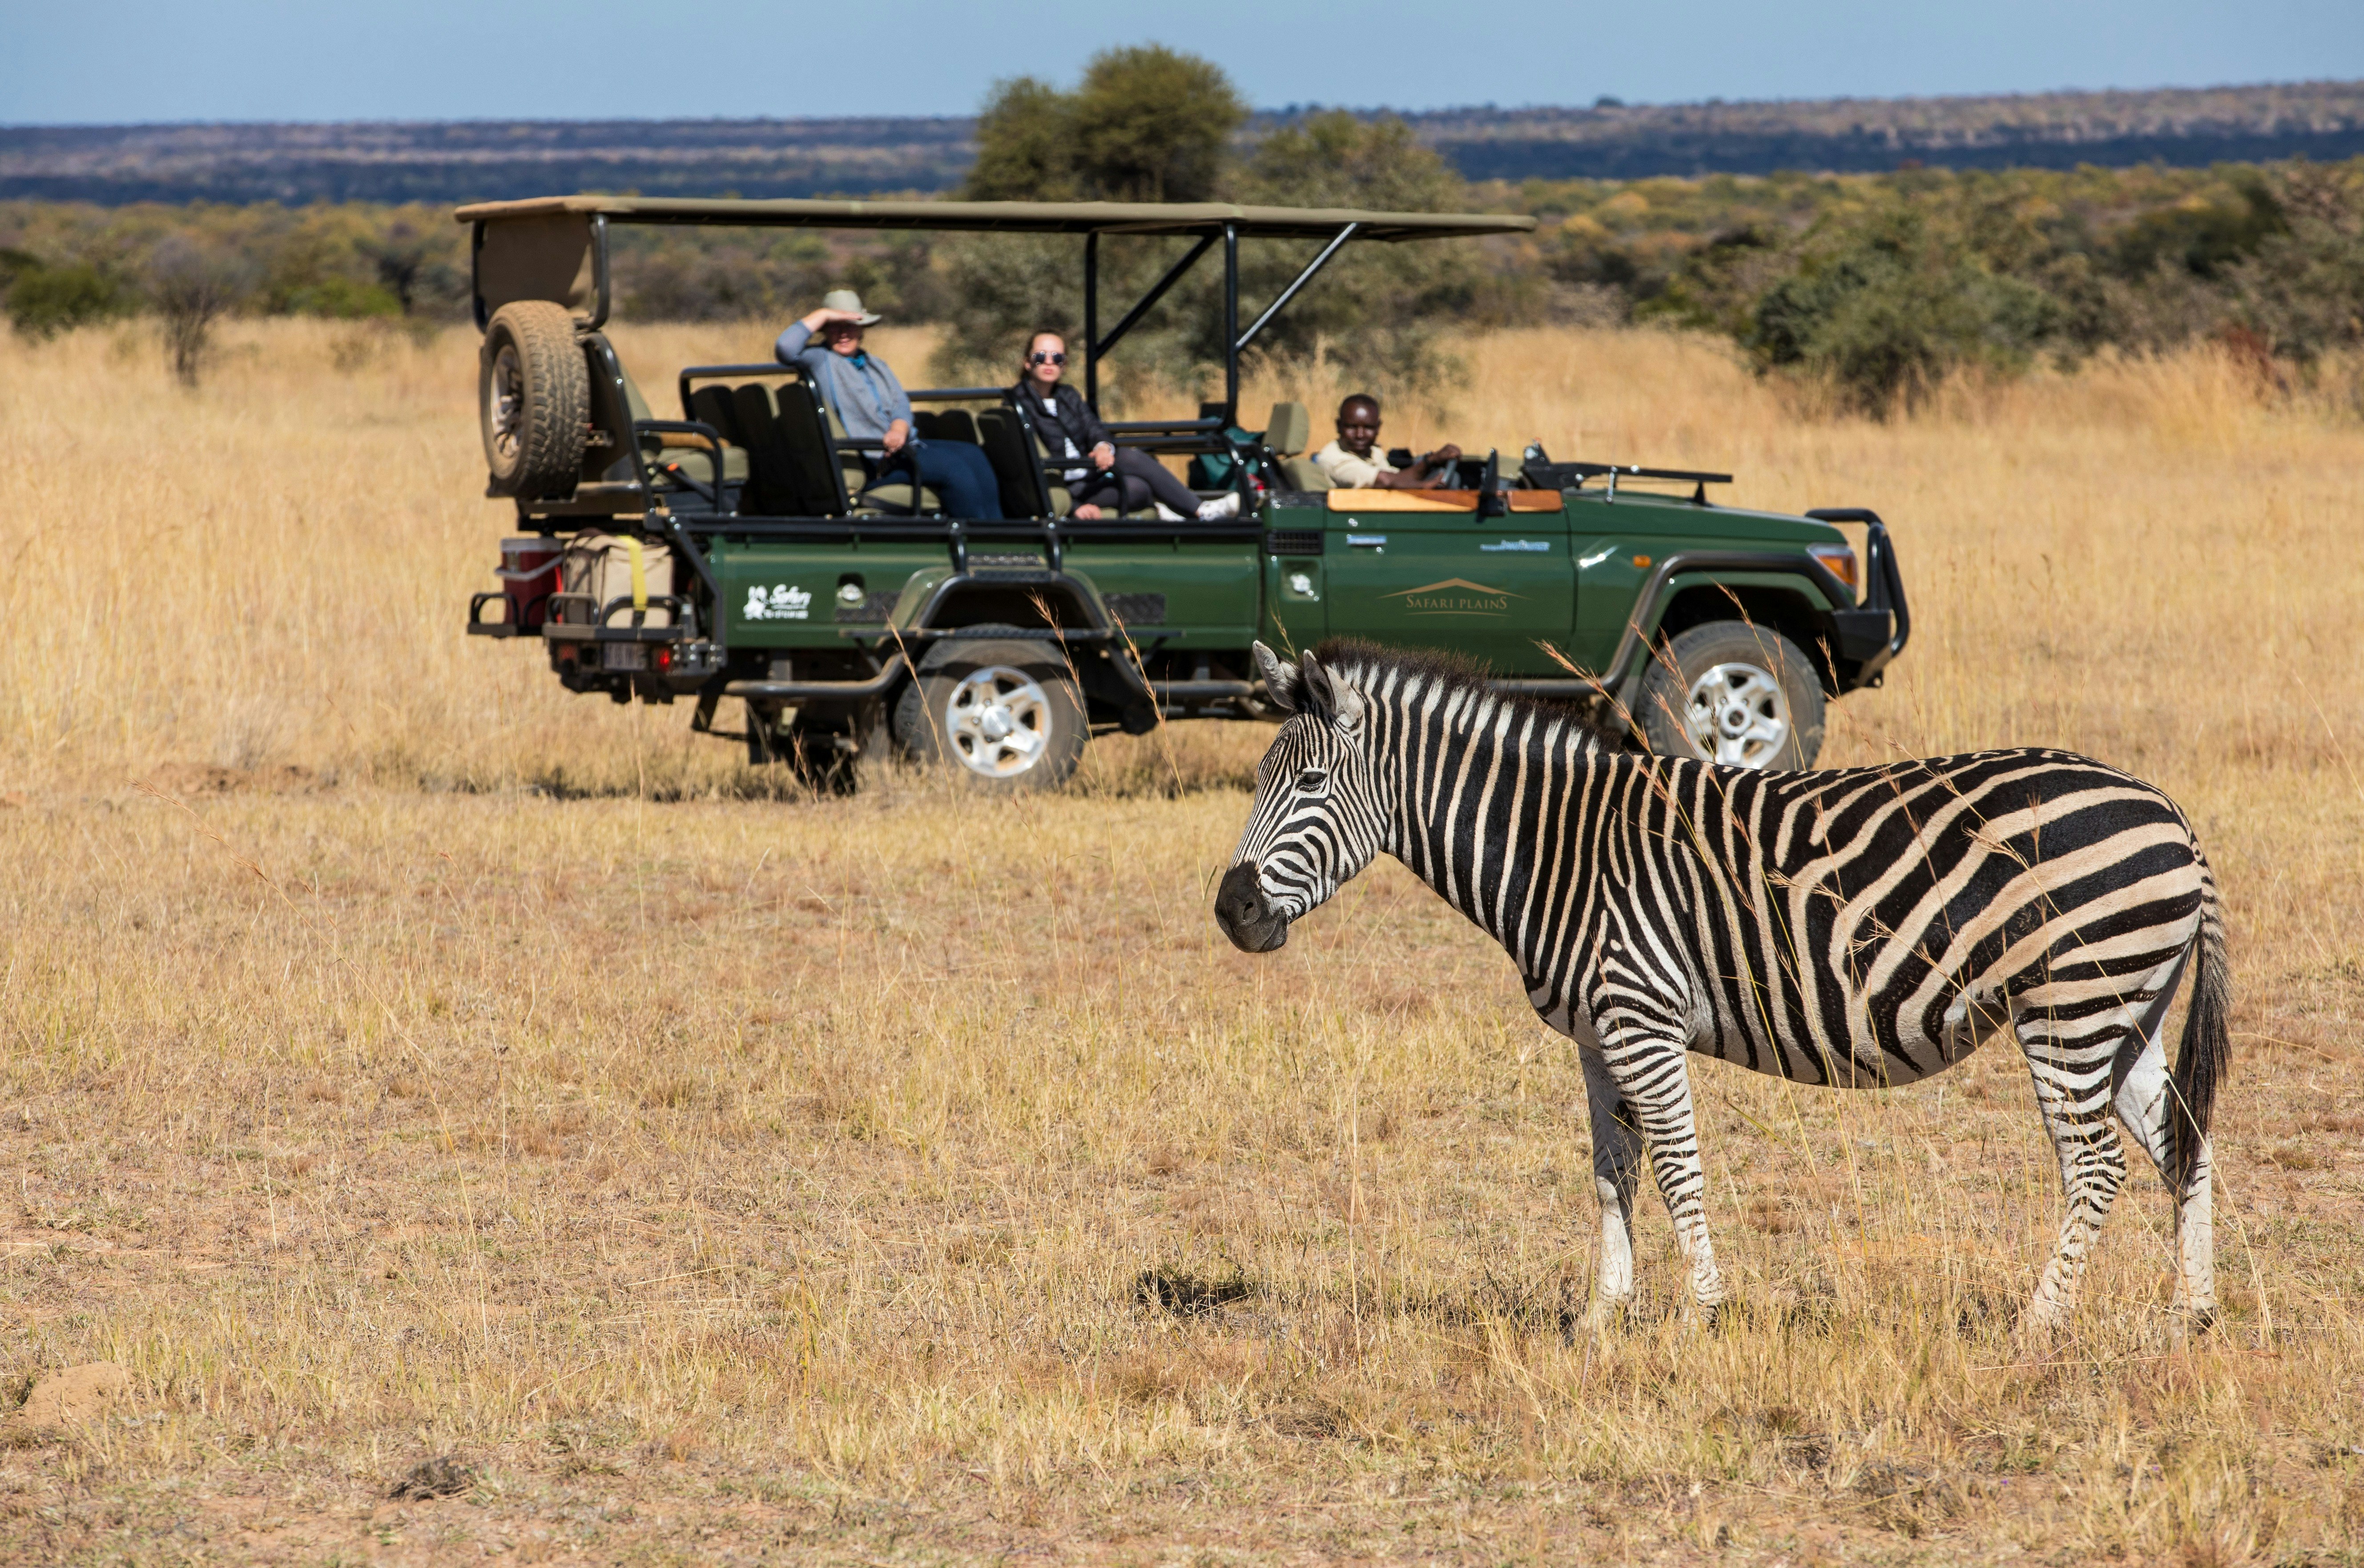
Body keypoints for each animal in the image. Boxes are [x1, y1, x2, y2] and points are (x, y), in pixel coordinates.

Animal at [1214, 641, 2229, 1332]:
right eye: (1258, 777)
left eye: (1311, 781)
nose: (1231, 910)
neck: (1559, 846)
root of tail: (2169, 810)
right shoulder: (1597, 1035)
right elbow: (1610, 1174)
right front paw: (1600, 1318)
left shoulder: (1642, 1017)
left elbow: (1675, 1165)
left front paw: (1699, 1311)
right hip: (2125, 1012)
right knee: (2182, 1143)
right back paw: (2190, 1314)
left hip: (2070, 1007)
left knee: (2096, 1164)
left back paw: (2035, 1324)